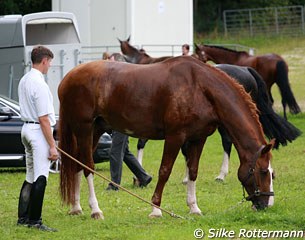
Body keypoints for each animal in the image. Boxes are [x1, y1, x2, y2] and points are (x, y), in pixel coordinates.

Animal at [57, 55, 274, 218]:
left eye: (273, 174)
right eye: (263, 172)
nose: (267, 204)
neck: (200, 87)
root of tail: (67, 78)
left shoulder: (198, 138)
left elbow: (193, 171)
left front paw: (194, 208)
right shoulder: (174, 137)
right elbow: (164, 171)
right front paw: (156, 209)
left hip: (95, 130)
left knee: (77, 164)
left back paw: (76, 207)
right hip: (83, 129)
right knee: (88, 167)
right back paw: (95, 210)